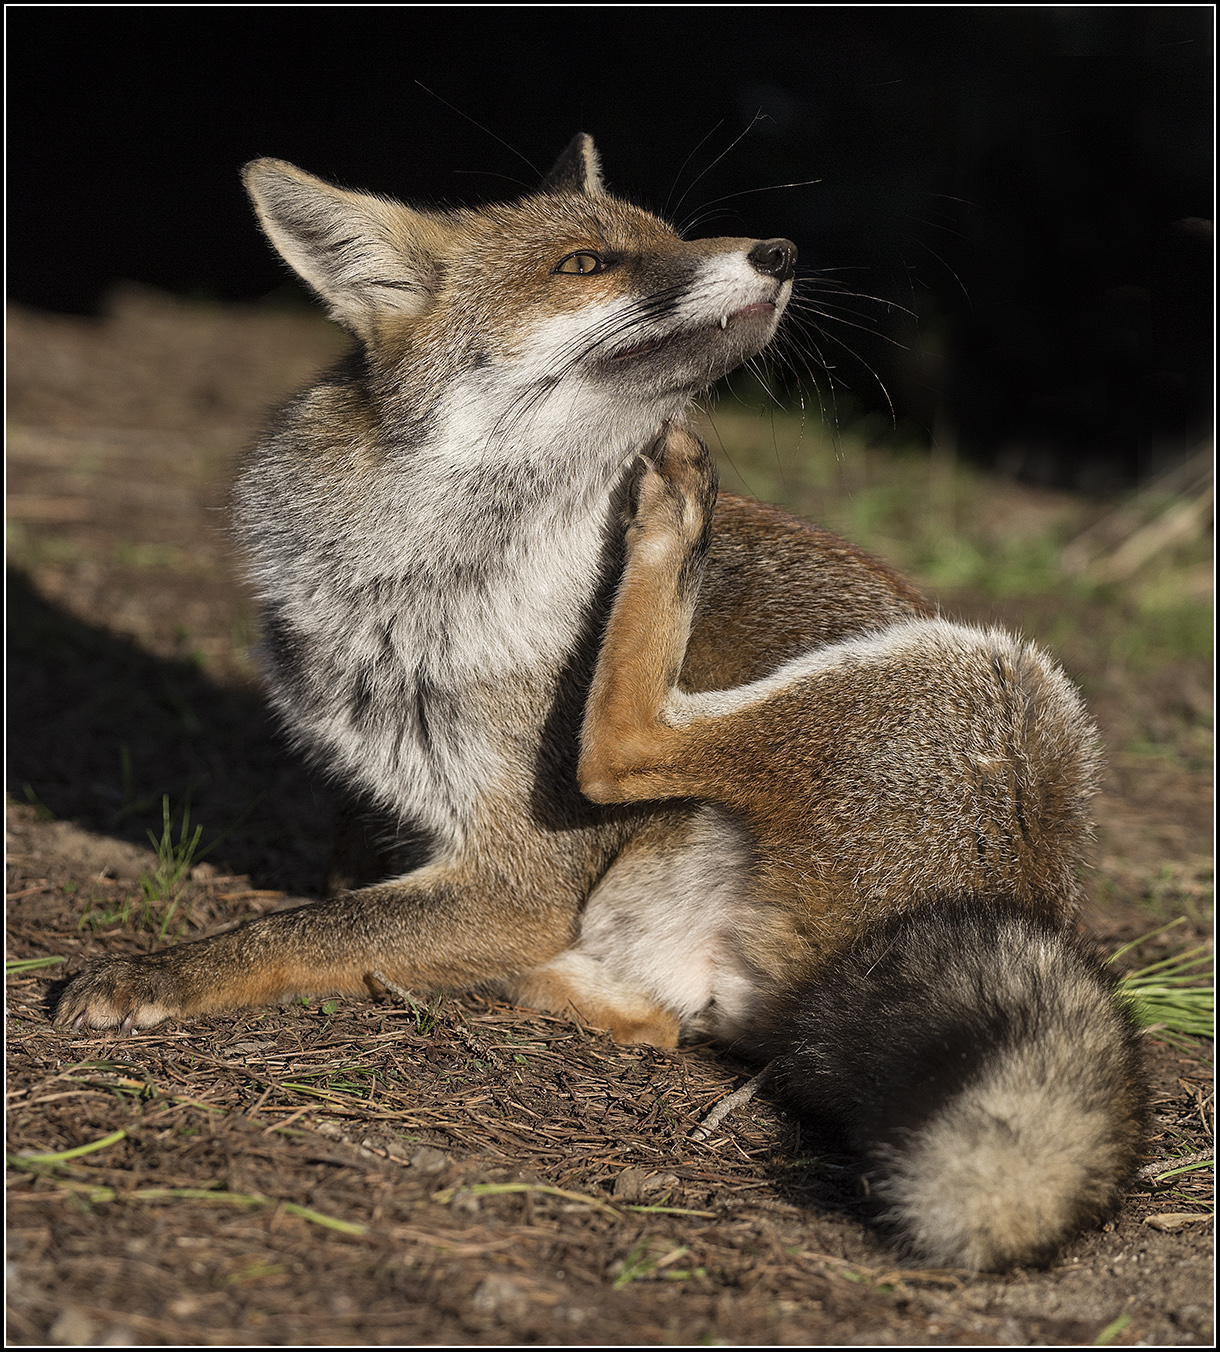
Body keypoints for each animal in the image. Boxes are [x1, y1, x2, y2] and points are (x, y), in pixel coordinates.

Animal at [55, 134, 1145, 1271]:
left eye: (670, 240)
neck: (420, 587)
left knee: (623, 749)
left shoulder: (521, 876)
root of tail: (1026, 900)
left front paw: (160, 971)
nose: (779, 249)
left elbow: (299, 930)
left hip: (993, 676)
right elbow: (343, 889)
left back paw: (673, 519)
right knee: (658, 1013)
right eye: (587, 263)